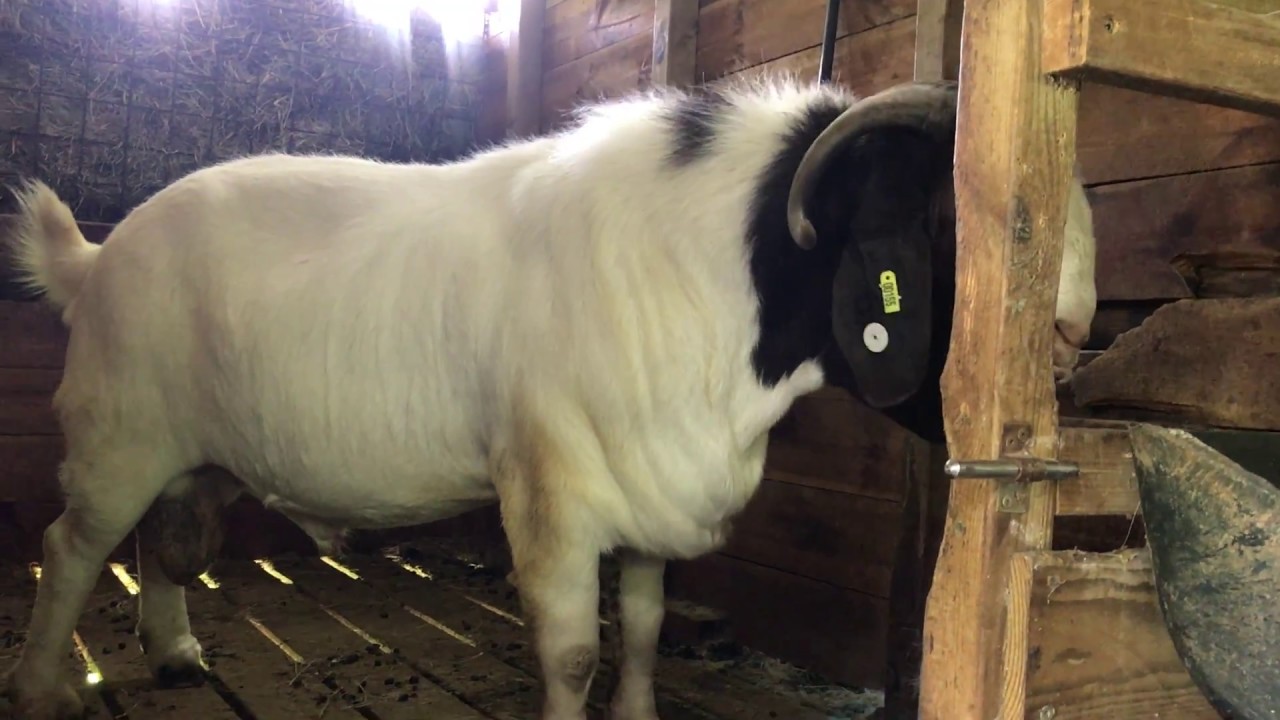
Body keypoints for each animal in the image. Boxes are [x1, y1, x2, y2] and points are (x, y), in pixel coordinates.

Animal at [2, 77, 1097, 720]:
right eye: (953, 218)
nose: (1073, 338)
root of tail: (96, 255)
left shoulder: (655, 483)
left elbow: (645, 627)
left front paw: (638, 713)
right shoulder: (553, 491)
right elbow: (570, 653)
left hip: (193, 454)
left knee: (164, 542)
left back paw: (177, 653)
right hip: (117, 431)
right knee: (71, 546)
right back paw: (41, 686)